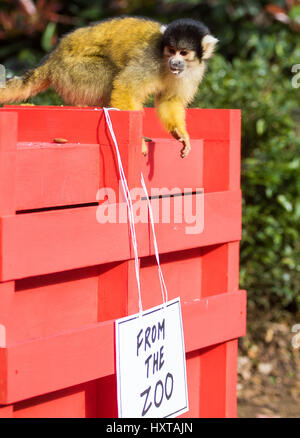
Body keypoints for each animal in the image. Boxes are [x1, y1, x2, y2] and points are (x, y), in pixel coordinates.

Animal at [0, 17, 217, 157]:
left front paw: (180, 134)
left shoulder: (194, 71)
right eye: (171, 50)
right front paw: (137, 141)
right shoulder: (151, 59)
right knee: (111, 75)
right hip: (71, 71)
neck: (165, 65)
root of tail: (51, 59)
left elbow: (169, 100)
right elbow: (125, 86)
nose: (175, 62)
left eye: (183, 52)